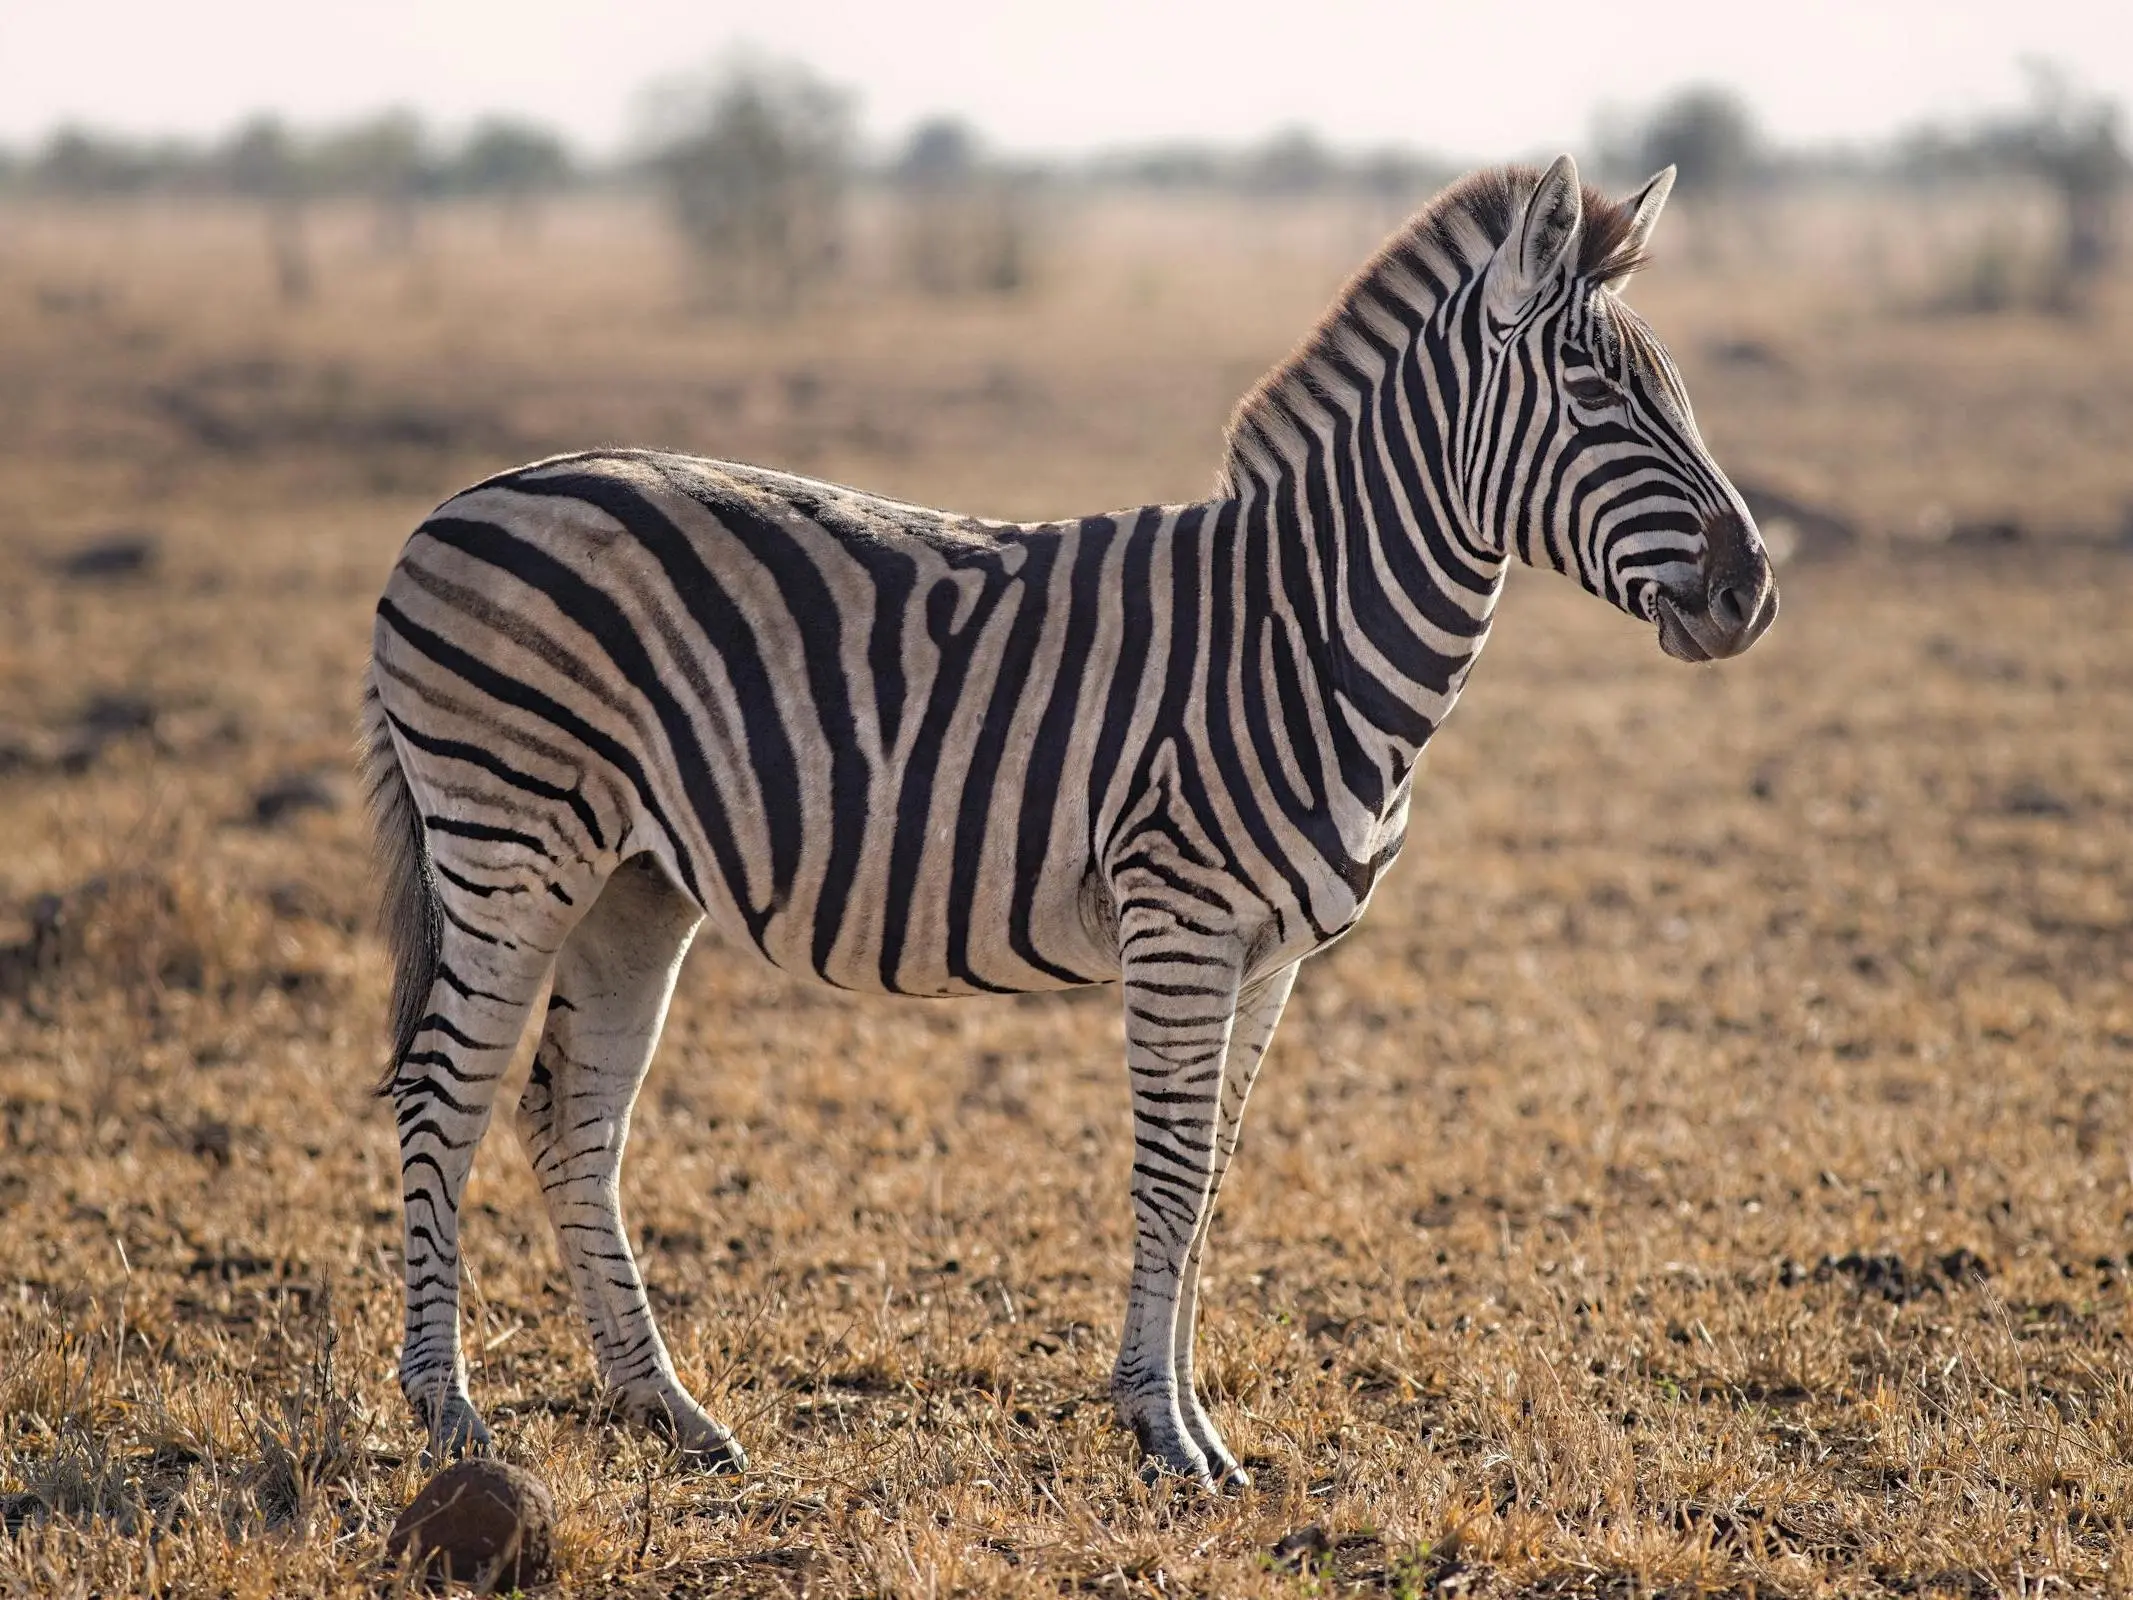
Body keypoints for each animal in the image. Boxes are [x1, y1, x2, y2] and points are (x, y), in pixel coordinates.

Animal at [371, 156, 1783, 1484]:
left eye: (1677, 392)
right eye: (1594, 394)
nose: (1751, 595)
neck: (1308, 631)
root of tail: (455, 506)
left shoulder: (1271, 957)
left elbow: (1210, 1176)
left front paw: (1187, 1419)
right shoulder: (1183, 917)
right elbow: (1167, 1171)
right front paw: (1164, 1431)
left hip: (633, 881)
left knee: (570, 1113)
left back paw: (667, 1410)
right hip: (511, 846)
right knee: (442, 1094)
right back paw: (449, 1413)